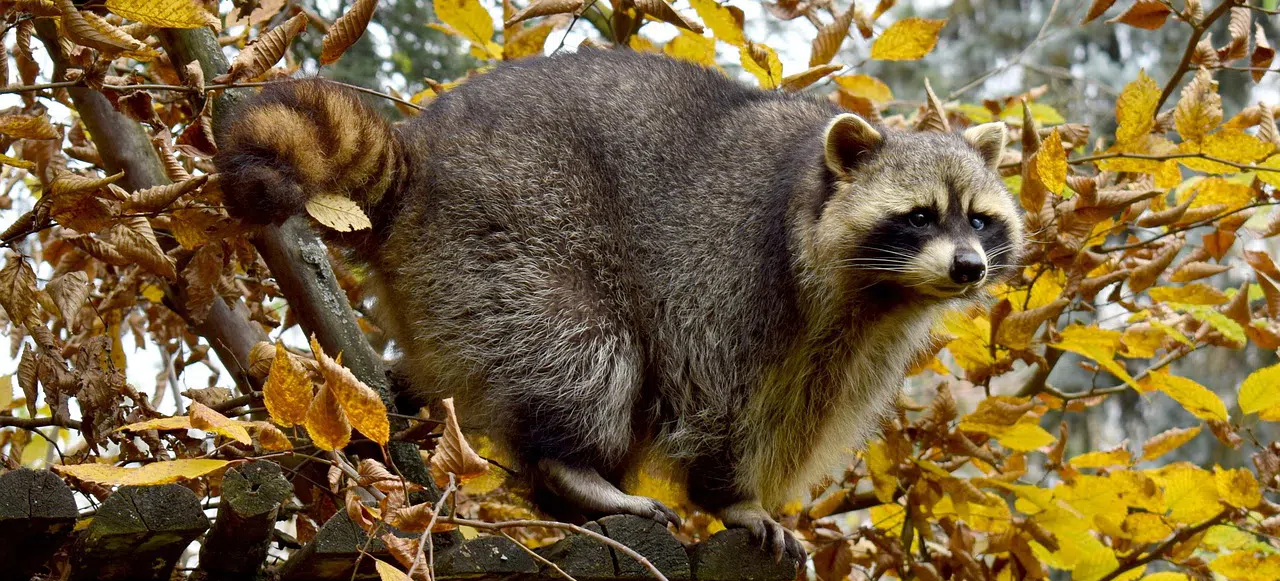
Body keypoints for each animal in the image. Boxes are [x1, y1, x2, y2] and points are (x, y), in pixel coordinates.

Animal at [215, 48, 1023, 562]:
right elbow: (720, 395)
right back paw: (576, 465)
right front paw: (732, 495)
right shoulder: (731, 270)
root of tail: (421, 156)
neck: (877, 290)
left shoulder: (859, 343)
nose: (970, 267)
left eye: (981, 220)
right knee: (581, 348)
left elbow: (808, 404)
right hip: (509, 230)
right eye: (919, 216)